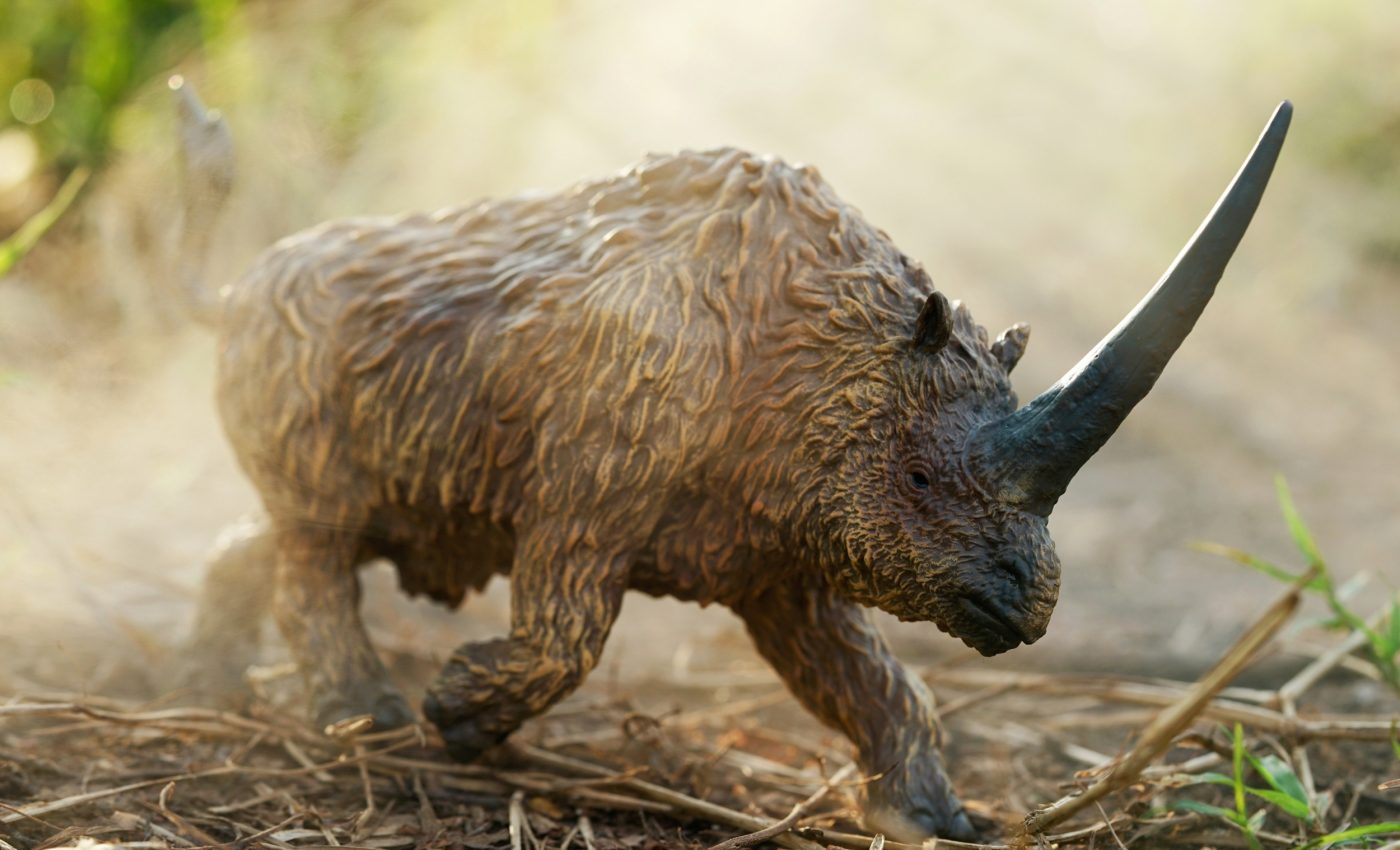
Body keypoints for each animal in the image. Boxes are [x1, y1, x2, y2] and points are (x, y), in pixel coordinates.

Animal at [173, 78, 1290, 841]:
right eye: (920, 479)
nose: (1029, 608)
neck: (830, 346)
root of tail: (228, 296)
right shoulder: (604, 456)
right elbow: (571, 628)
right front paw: (457, 718)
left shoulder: (784, 548)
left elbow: (868, 676)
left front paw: (931, 820)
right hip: (300, 353)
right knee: (318, 535)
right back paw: (363, 720)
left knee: (309, 528)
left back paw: (209, 677)